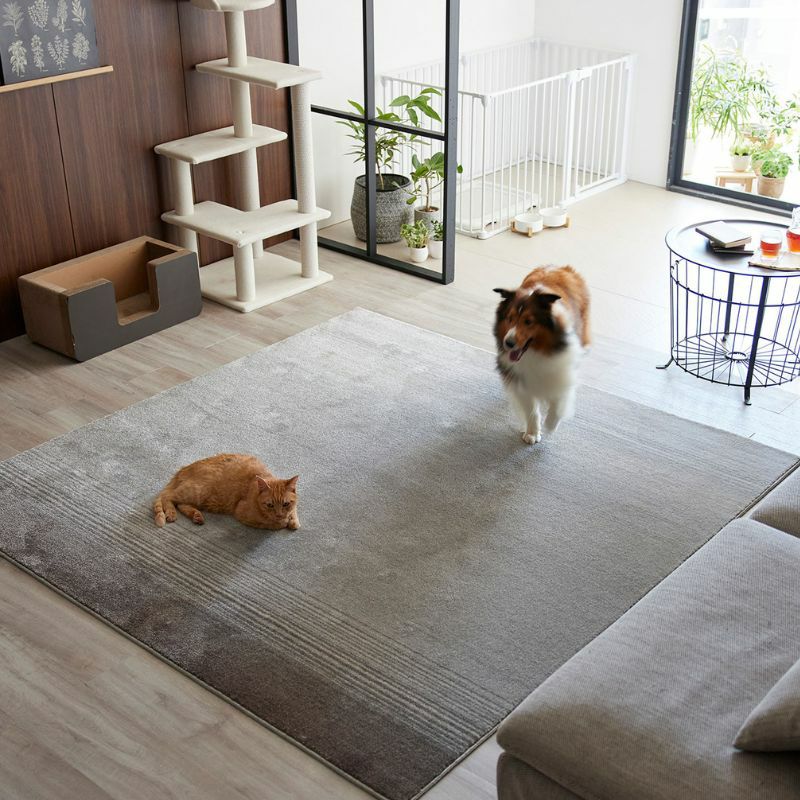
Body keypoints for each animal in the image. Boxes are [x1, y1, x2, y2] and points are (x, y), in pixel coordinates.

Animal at [153, 453, 300, 531]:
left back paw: (196, 516)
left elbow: (294, 513)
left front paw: (292, 520)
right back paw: (171, 513)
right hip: (196, 491)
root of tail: (183, 469)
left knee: (180, 504)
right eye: (270, 505)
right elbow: (273, 524)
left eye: (286, 504)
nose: (279, 514)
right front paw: (284, 521)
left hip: (195, 497)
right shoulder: (241, 512)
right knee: (167, 497)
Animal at [494, 265, 590, 444]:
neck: (538, 351)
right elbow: (531, 410)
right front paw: (532, 433)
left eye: (528, 321)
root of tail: (561, 267)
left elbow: (558, 403)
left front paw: (550, 425)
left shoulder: (563, 372)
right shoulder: (521, 380)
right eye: (510, 318)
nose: (508, 343)